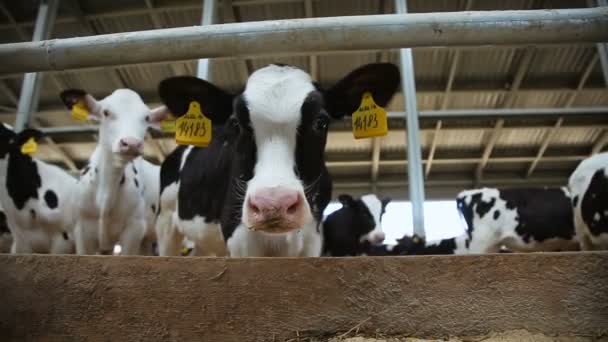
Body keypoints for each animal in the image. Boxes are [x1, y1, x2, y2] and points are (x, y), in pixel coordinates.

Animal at [154, 63, 402, 256]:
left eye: (321, 122)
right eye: (235, 123)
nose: (273, 205)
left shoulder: (313, 238)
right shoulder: (239, 237)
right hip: (165, 222)